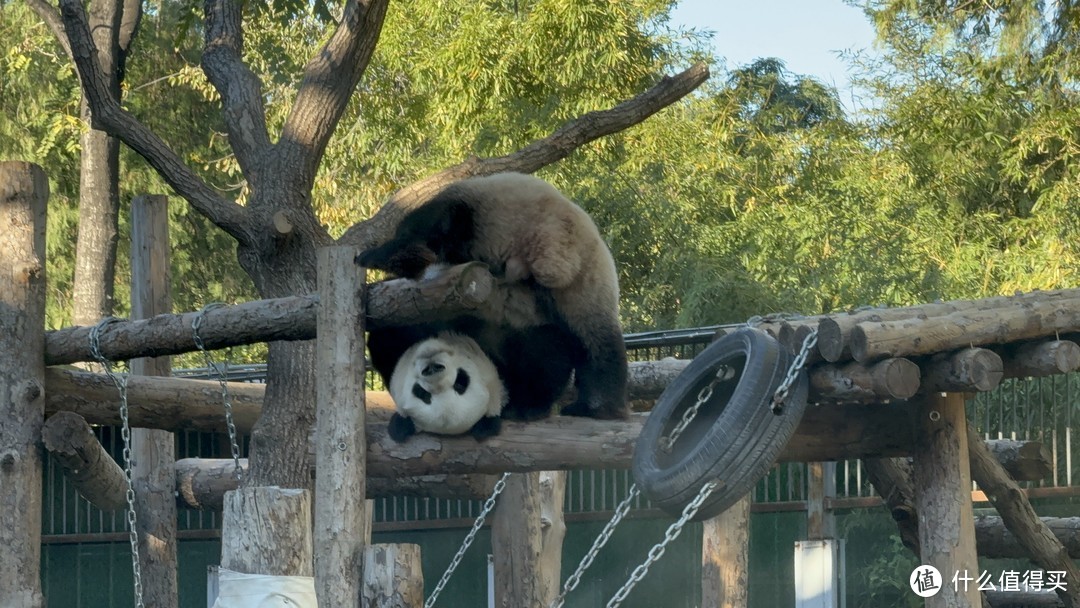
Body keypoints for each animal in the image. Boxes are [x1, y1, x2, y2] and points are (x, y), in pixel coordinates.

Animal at [360, 172, 630, 442]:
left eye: (460, 383)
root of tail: (552, 247)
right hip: (578, 284)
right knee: (588, 343)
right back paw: (585, 407)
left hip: (487, 213)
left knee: (432, 227)